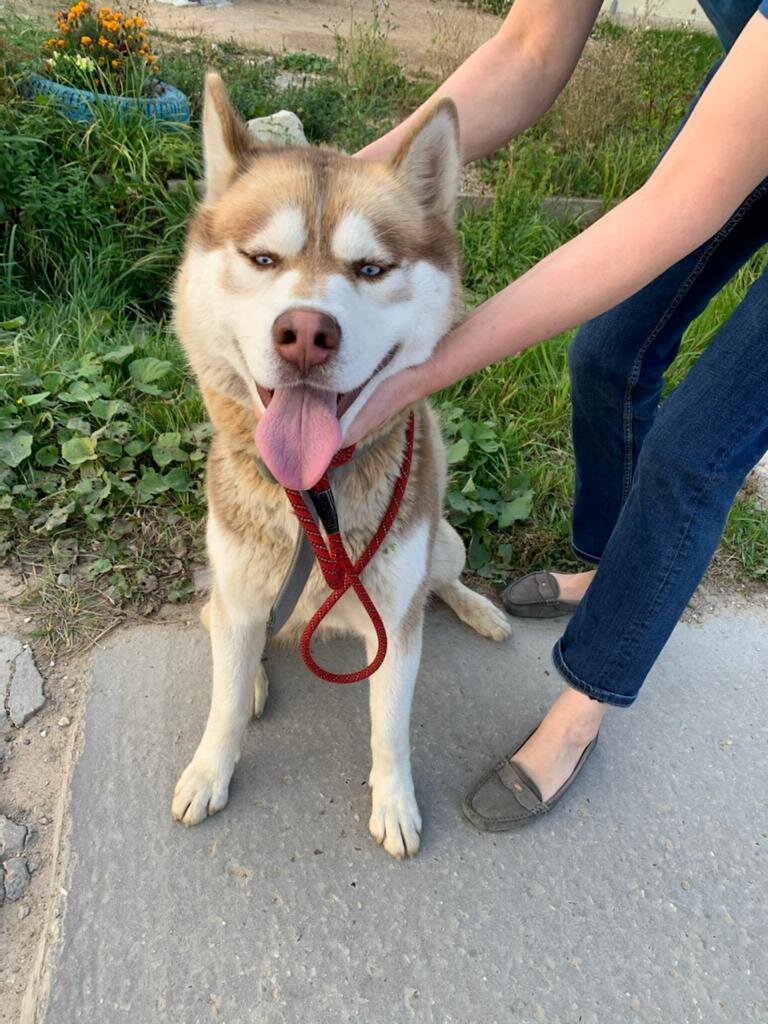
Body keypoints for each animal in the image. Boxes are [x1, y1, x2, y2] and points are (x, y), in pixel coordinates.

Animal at [171, 75, 514, 856]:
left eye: (371, 269)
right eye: (263, 259)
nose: (304, 333)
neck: (315, 497)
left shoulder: (395, 621)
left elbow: (391, 727)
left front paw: (395, 802)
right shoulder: (240, 595)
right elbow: (222, 704)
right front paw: (210, 770)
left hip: (443, 543)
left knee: (443, 582)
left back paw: (480, 608)